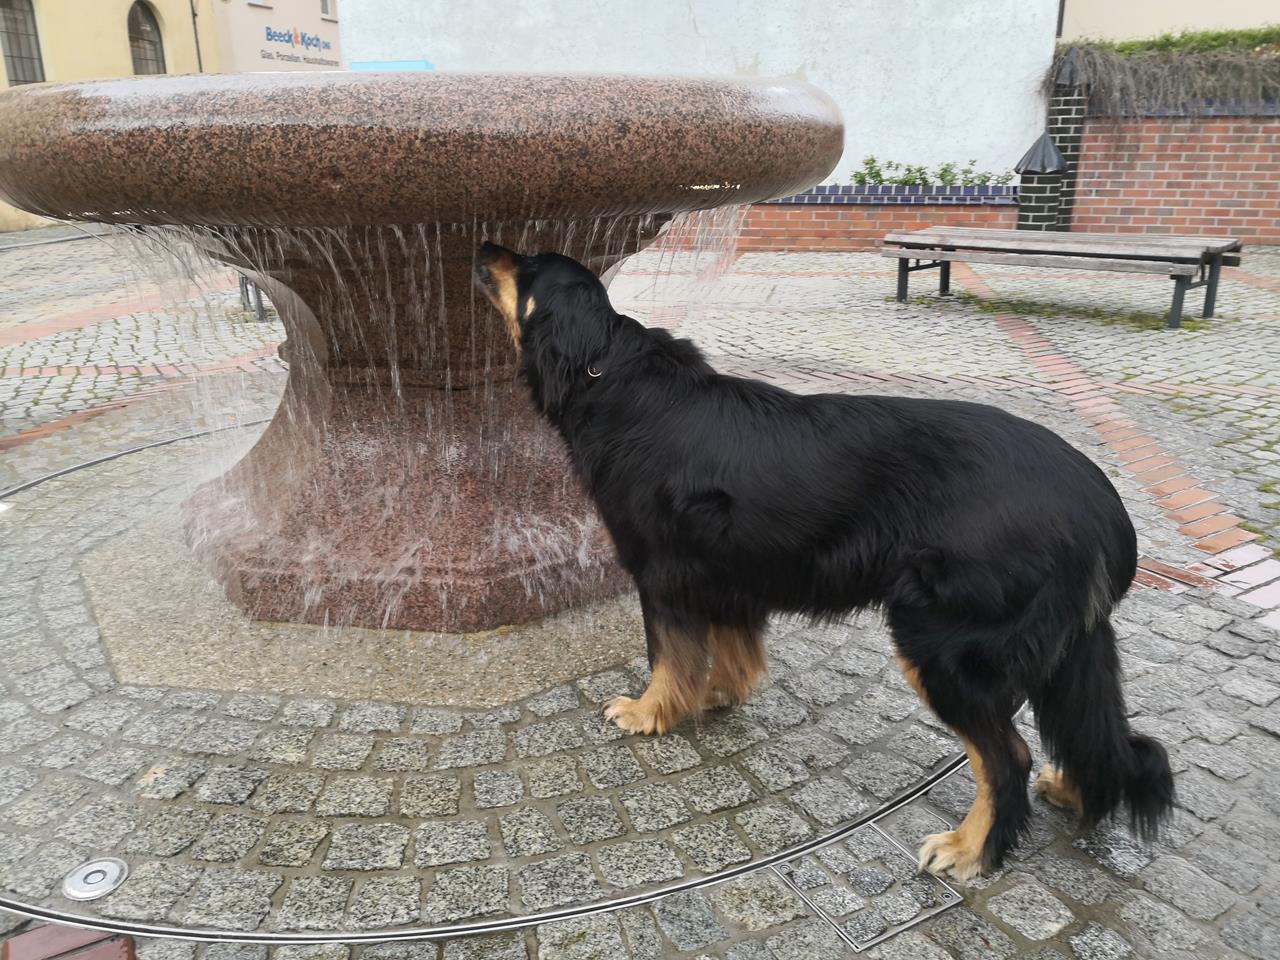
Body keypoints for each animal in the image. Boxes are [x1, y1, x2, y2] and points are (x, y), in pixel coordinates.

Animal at [473, 241, 1174, 882]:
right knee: (1094, 740)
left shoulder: (664, 575)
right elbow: (730, 649)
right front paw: (718, 693)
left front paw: (651, 713)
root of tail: (1104, 508)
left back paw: (970, 849)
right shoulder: (729, 573)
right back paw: (1074, 792)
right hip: (1066, 650)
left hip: (942, 643)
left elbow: (669, 656)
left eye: (526, 269)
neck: (607, 369)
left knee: (1008, 759)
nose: (484, 247)